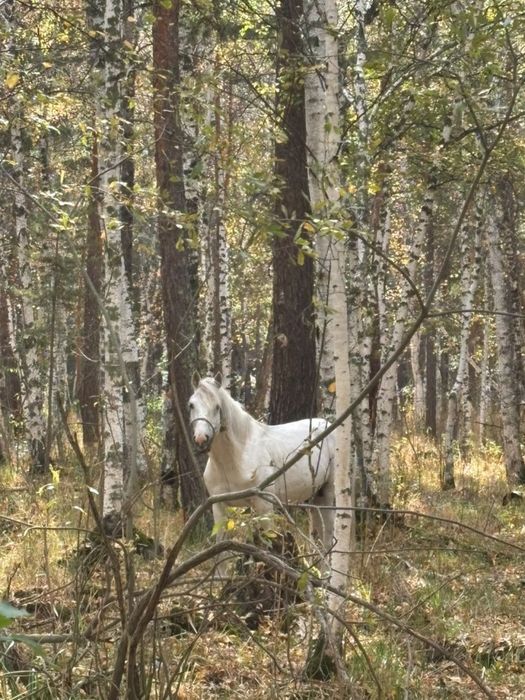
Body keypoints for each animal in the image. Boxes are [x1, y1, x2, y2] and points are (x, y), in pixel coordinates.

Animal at [188, 372, 335, 569]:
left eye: (217, 406)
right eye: (191, 404)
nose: (201, 439)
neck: (236, 457)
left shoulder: (264, 505)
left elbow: (268, 548)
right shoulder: (218, 507)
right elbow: (220, 552)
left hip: (328, 494)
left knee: (328, 540)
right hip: (314, 498)